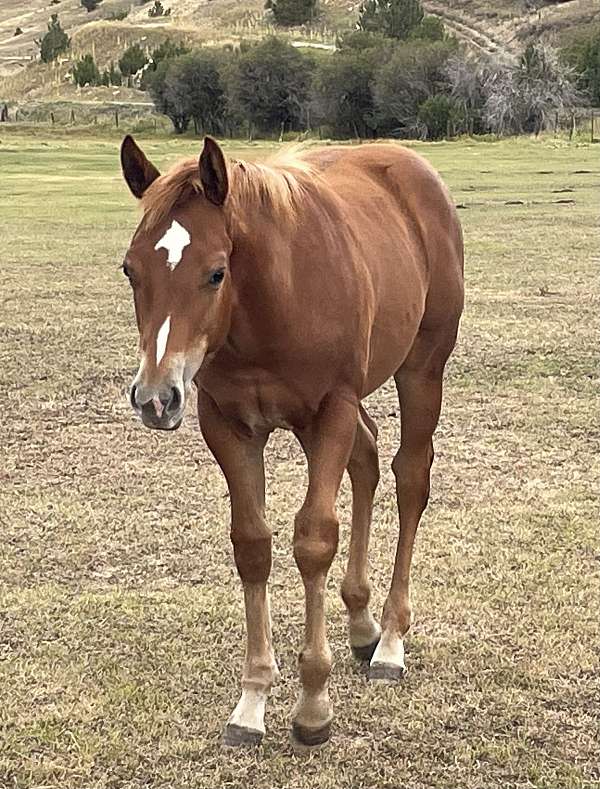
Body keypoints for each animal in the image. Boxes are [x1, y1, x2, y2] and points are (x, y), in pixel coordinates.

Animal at [119, 134, 464, 747]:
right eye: (130, 270)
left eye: (216, 272)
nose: (155, 398)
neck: (270, 304)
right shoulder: (227, 424)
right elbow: (253, 544)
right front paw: (252, 702)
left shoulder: (331, 411)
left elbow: (314, 540)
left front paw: (312, 706)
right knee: (368, 458)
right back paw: (361, 625)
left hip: (421, 369)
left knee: (410, 478)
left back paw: (390, 642)